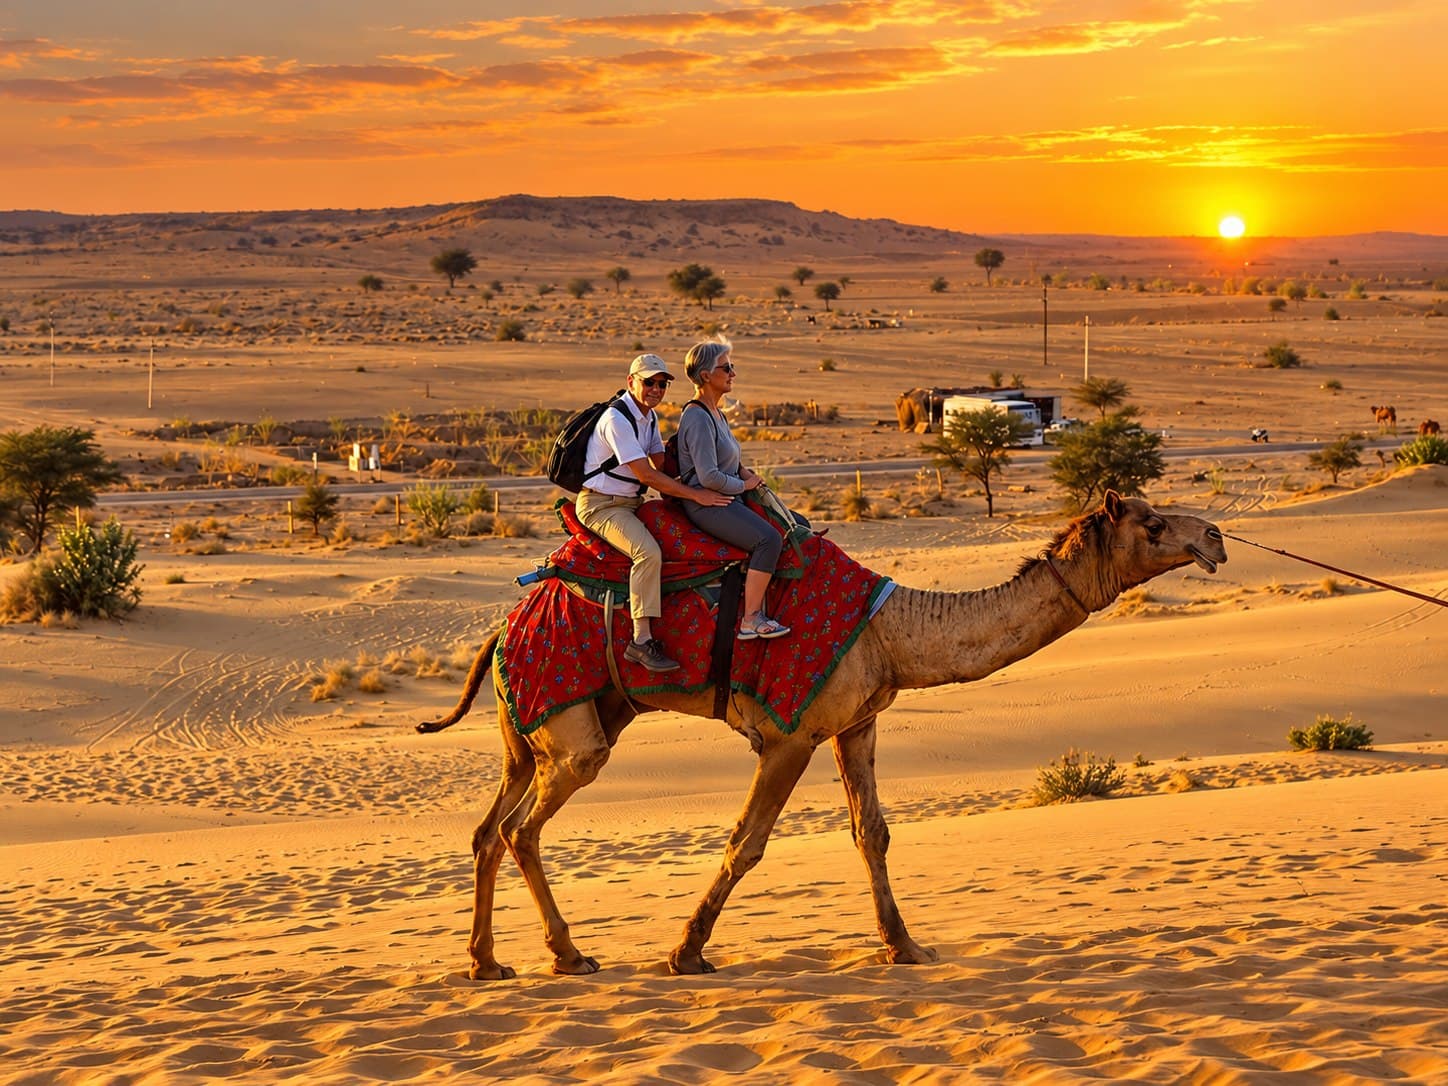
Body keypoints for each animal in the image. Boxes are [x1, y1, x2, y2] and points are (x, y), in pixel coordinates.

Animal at [418, 492, 1227, 980]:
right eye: (1152, 524)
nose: (1216, 536)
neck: (893, 631)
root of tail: (503, 626)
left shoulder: (856, 723)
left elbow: (873, 833)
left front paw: (905, 945)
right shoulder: (791, 735)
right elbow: (746, 842)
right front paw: (686, 952)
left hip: (541, 724)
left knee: (490, 830)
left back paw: (487, 963)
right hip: (568, 722)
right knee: (523, 827)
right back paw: (568, 954)